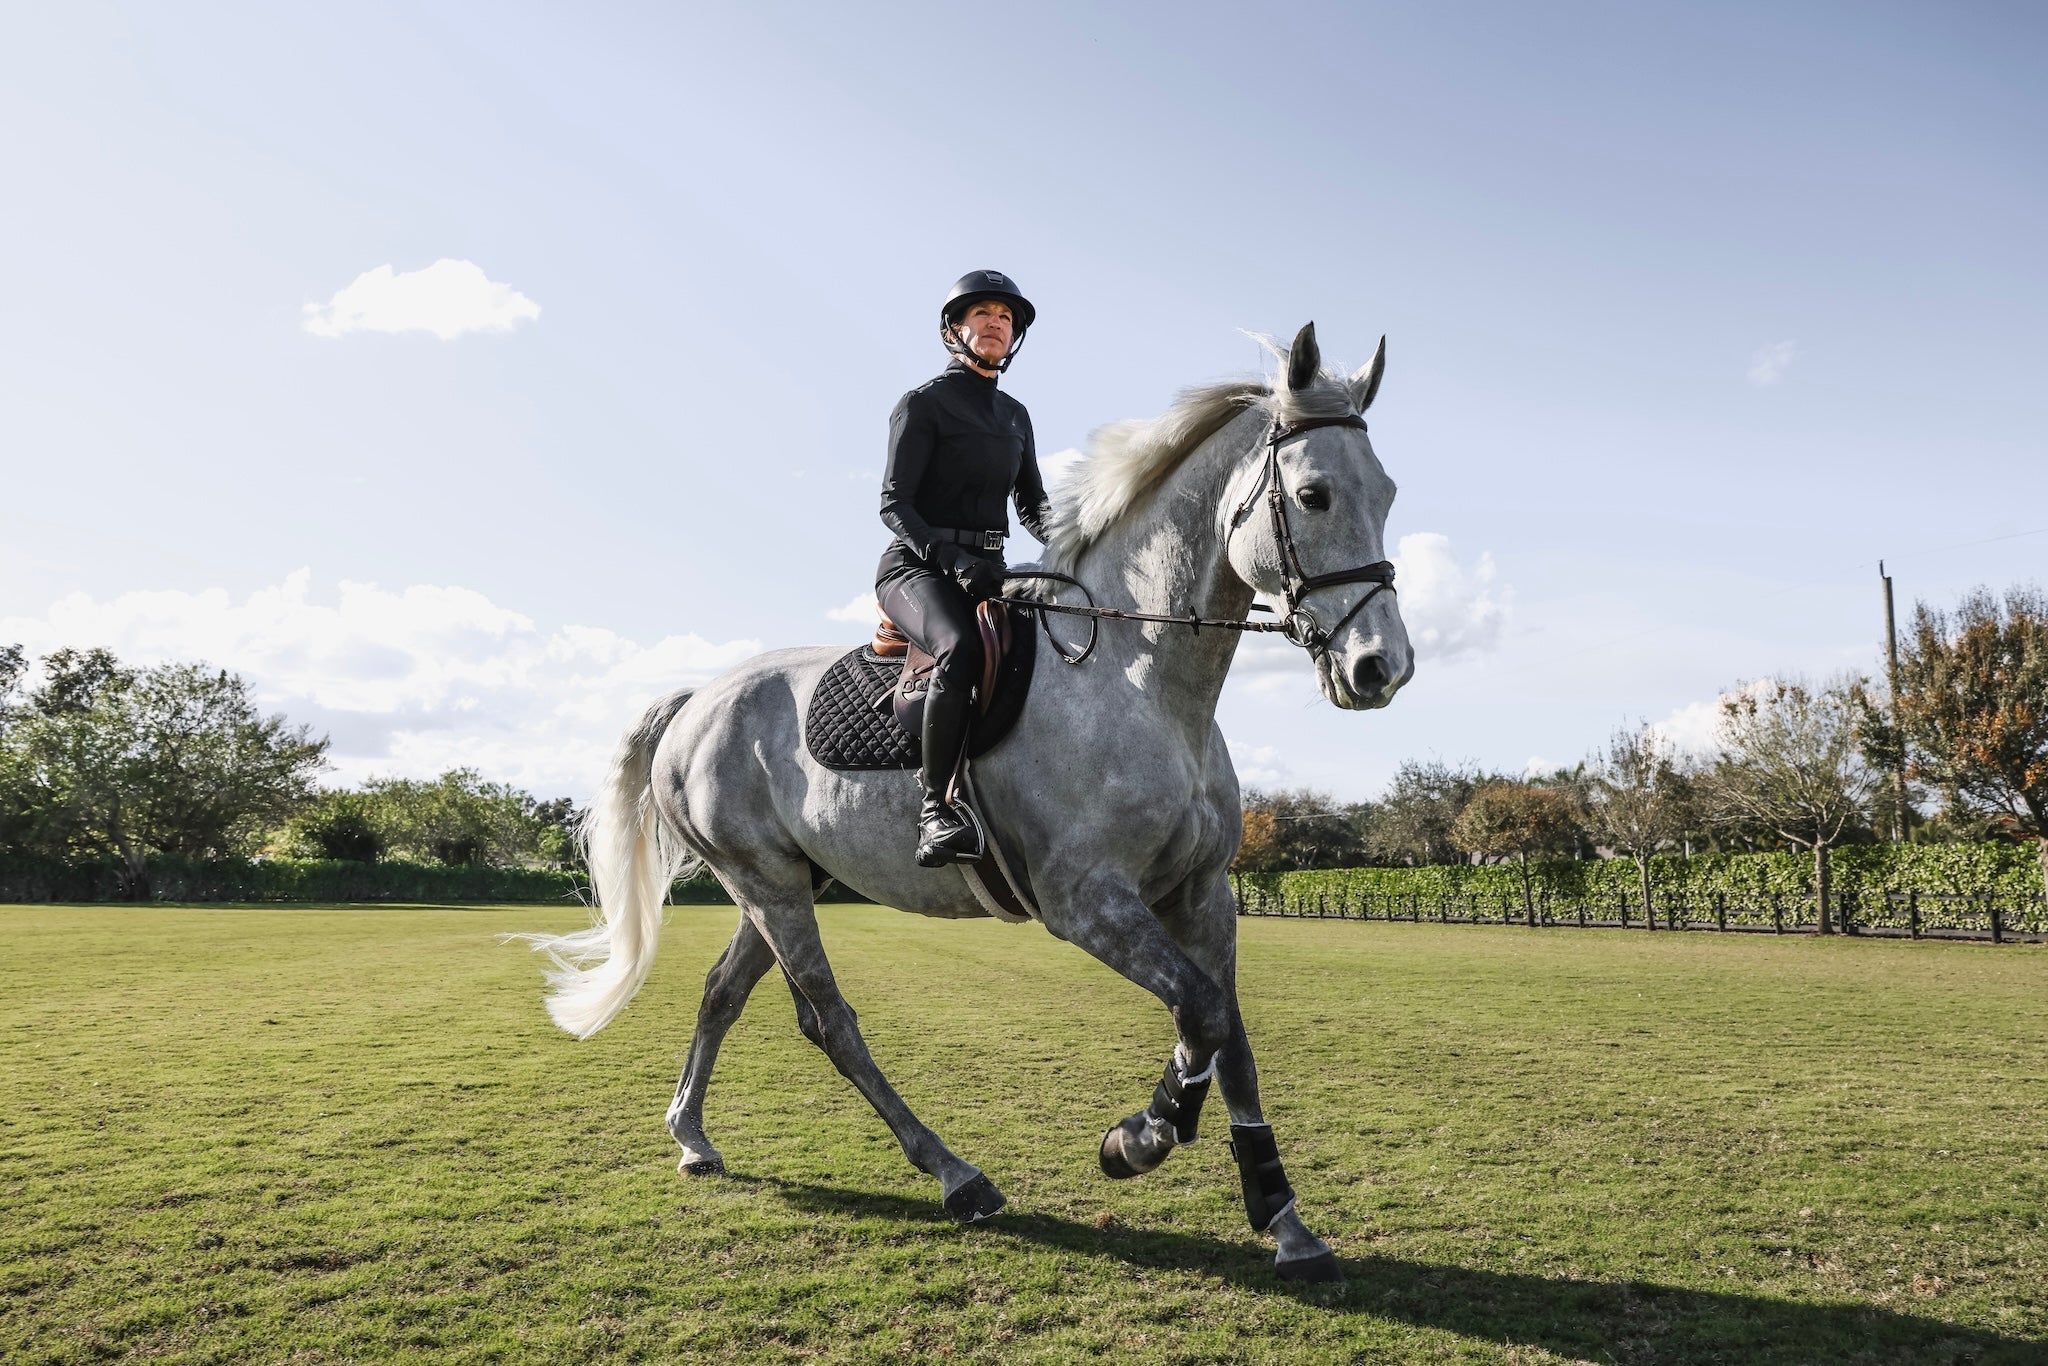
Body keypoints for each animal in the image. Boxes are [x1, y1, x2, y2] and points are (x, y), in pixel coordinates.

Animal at [520, 322, 1413, 1282]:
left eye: (1388, 492)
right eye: (1315, 496)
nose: (1381, 669)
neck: (1139, 679)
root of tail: (699, 698)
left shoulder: (1202, 894)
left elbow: (1229, 1034)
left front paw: (1283, 1219)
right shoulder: (1086, 902)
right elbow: (1201, 1013)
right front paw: (1140, 1137)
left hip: (788, 883)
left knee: (724, 993)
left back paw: (691, 1136)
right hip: (765, 883)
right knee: (830, 1021)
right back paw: (957, 1176)